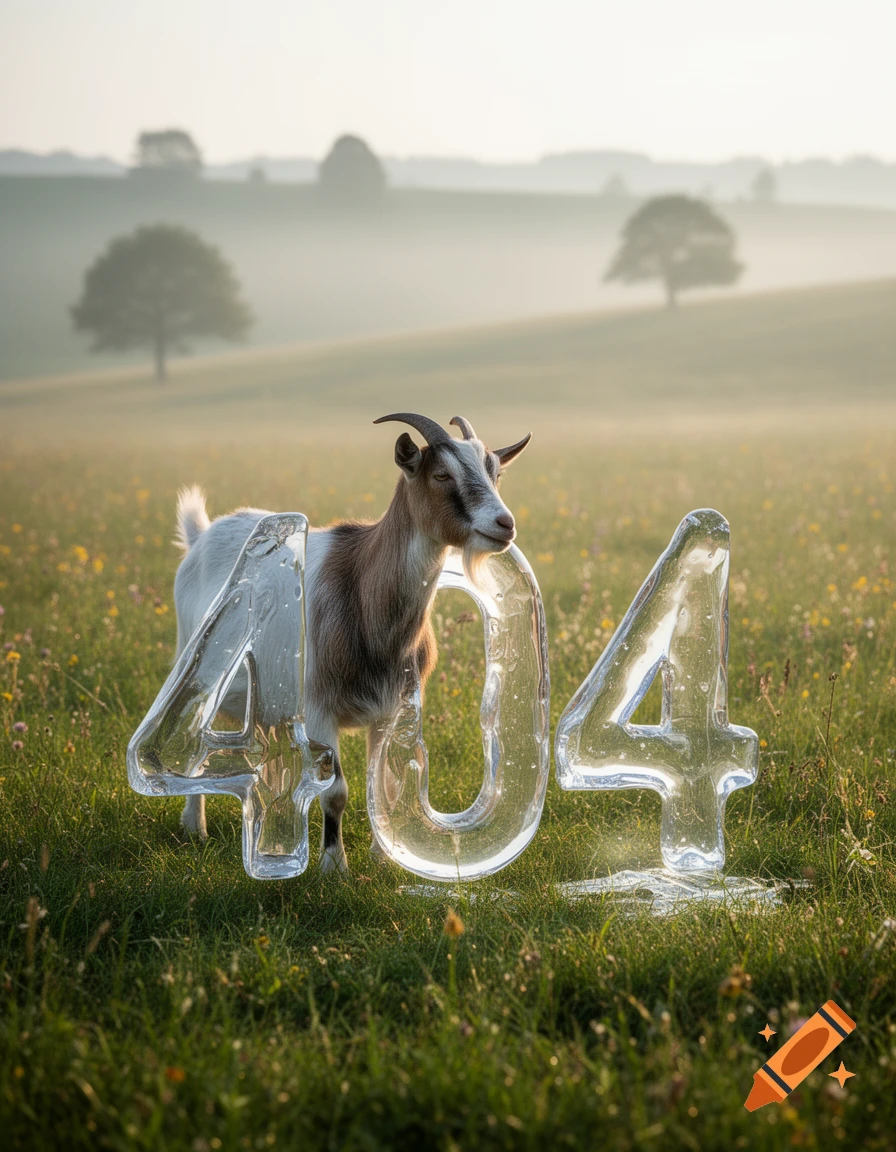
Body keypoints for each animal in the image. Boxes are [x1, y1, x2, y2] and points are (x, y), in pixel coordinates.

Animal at [172, 413, 531, 873]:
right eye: (441, 474)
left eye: (496, 473)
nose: (505, 524)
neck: (365, 596)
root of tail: (201, 536)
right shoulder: (320, 708)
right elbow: (336, 791)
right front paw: (333, 865)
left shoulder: (390, 710)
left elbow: (387, 786)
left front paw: (385, 857)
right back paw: (194, 827)